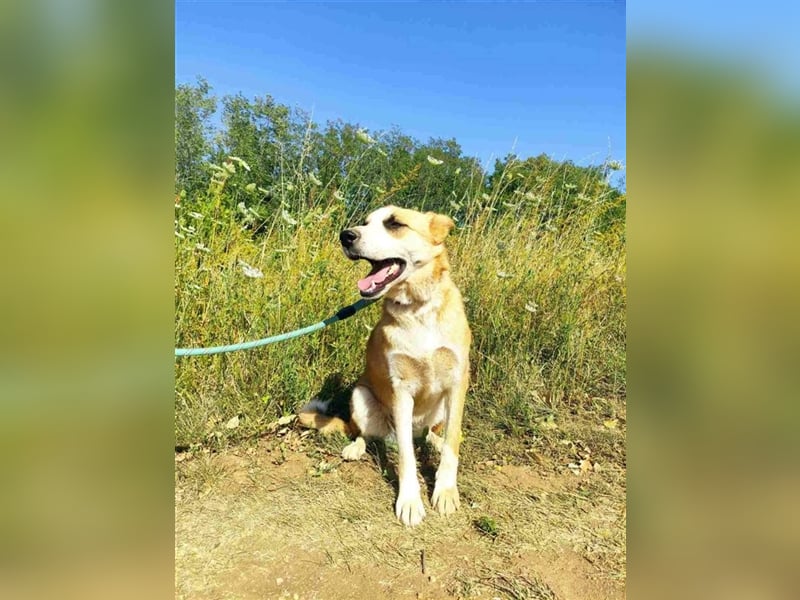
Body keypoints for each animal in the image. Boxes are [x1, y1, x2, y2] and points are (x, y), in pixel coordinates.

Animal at [298, 205, 471, 526]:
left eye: (395, 224)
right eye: (365, 223)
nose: (346, 235)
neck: (418, 309)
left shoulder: (457, 383)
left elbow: (452, 443)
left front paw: (445, 490)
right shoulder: (401, 391)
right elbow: (406, 457)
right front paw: (410, 501)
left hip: (439, 406)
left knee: (431, 434)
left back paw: (433, 441)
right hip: (361, 395)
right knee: (363, 433)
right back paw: (355, 447)